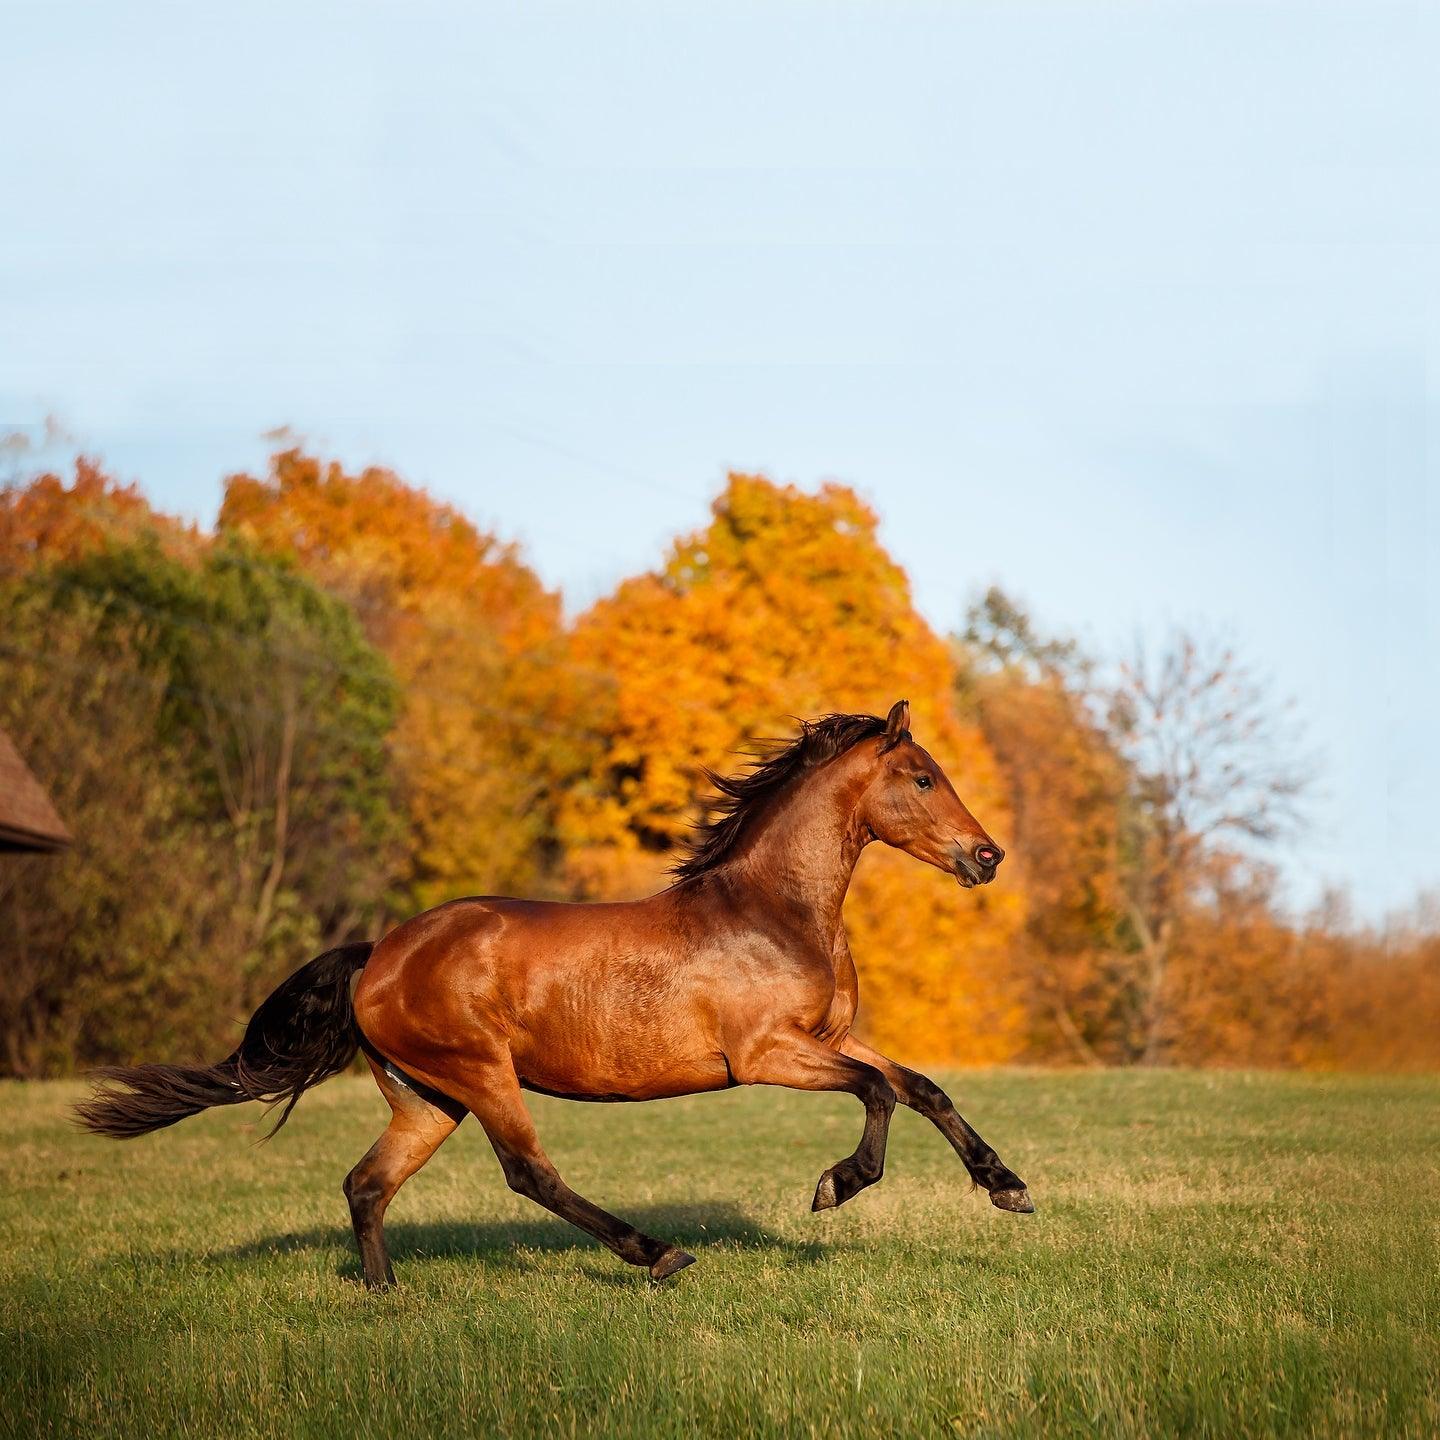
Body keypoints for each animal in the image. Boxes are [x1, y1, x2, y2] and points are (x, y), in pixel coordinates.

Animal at [75, 702, 1036, 1290]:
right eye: (922, 777)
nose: (987, 857)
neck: (772, 911)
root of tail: (378, 955)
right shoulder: (768, 1055)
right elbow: (879, 1095)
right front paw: (837, 1186)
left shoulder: (830, 1037)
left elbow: (922, 1088)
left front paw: (1008, 1187)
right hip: (482, 1076)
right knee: (527, 1172)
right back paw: (658, 1254)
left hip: (428, 1098)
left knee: (366, 1184)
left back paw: (386, 1296)